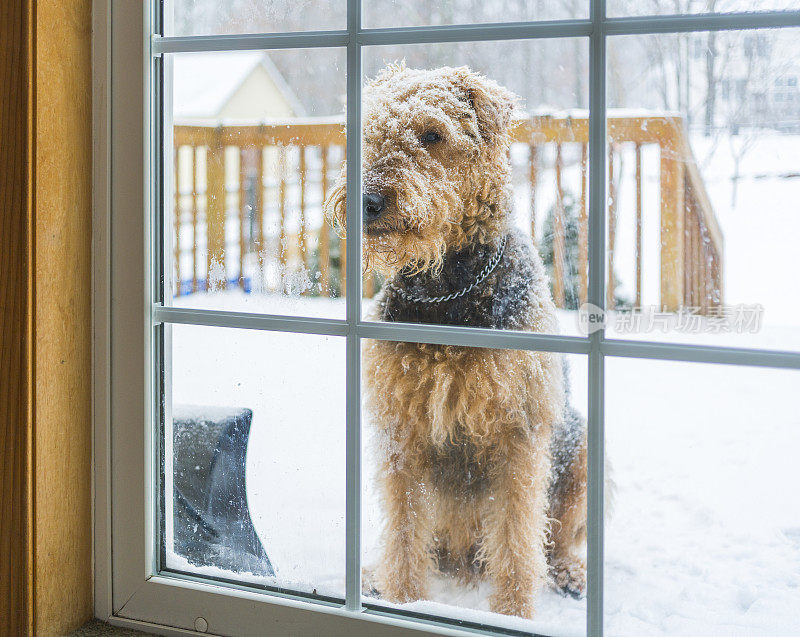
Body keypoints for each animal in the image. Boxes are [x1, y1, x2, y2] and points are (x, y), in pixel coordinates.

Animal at [324, 63, 588, 616]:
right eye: (367, 131)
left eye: (433, 134)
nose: (367, 201)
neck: (446, 294)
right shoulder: (400, 431)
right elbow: (404, 531)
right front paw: (404, 599)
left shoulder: (519, 434)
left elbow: (516, 538)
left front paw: (514, 614)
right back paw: (374, 577)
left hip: (577, 449)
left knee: (555, 540)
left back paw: (570, 573)